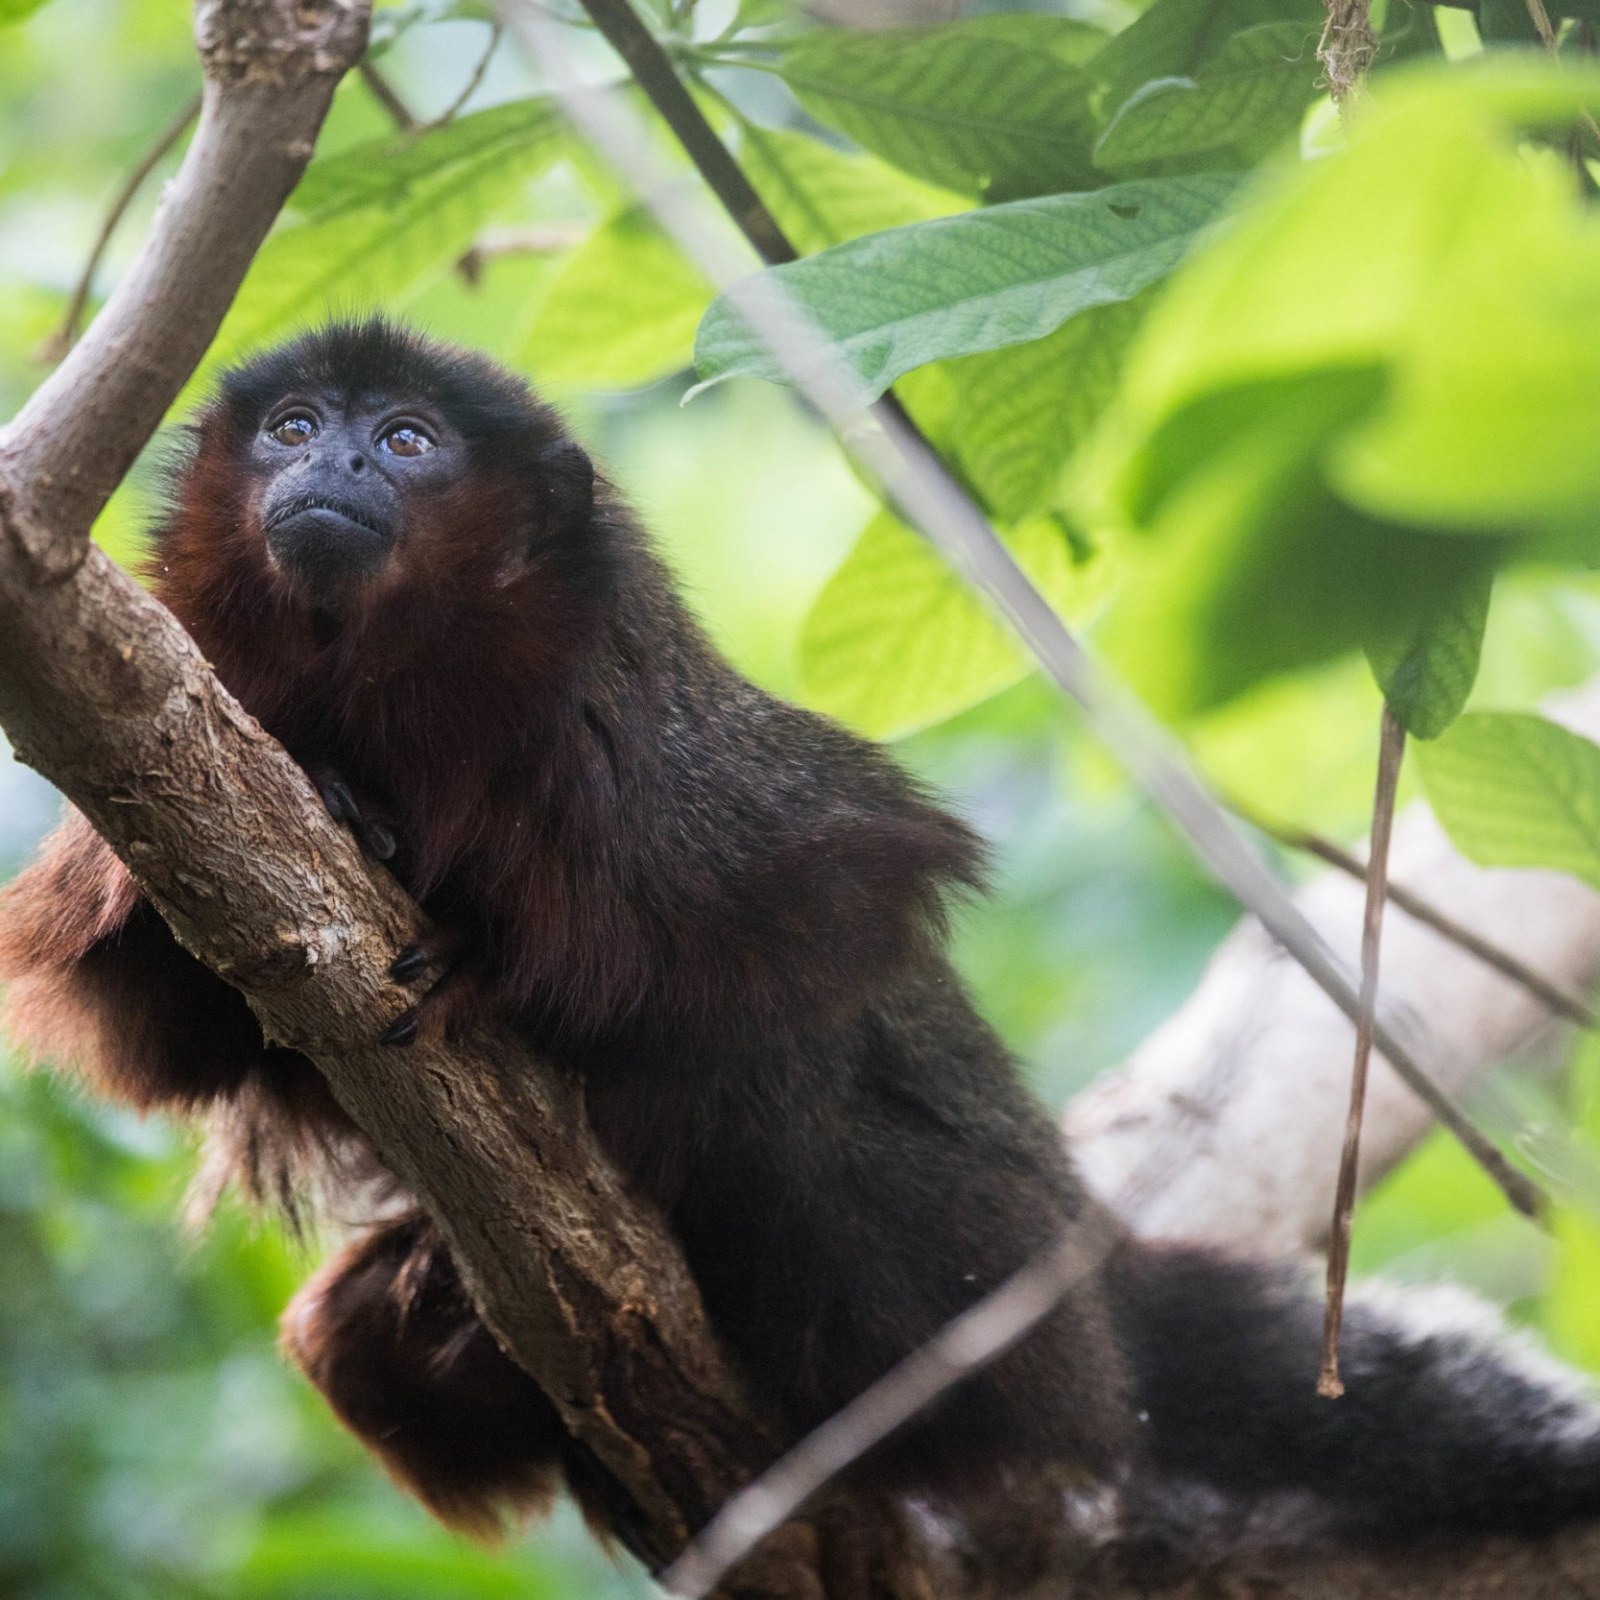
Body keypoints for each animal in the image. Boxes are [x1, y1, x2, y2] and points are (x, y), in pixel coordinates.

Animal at [3, 318, 1600, 1573]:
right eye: (291, 428)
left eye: (404, 441)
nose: (328, 469)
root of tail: (1084, 1269)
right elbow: (161, 1023)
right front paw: (342, 816)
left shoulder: (651, 753)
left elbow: (822, 932)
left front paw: (485, 961)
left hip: (975, 1268)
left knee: (793, 1112)